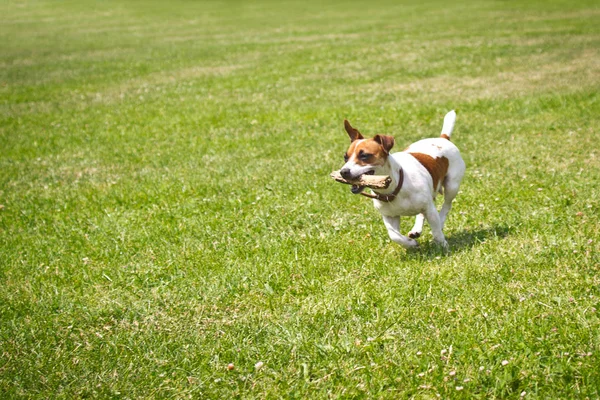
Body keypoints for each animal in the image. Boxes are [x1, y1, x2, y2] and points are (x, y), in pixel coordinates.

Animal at [340, 111, 466, 248]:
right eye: (345, 157)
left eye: (364, 156)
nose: (343, 172)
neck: (396, 186)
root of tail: (443, 138)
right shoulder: (390, 216)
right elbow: (394, 235)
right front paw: (411, 244)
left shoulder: (430, 209)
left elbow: (436, 231)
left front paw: (443, 245)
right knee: (421, 214)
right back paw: (416, 230)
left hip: (451, 185)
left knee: (447, 205)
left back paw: (441, 220)